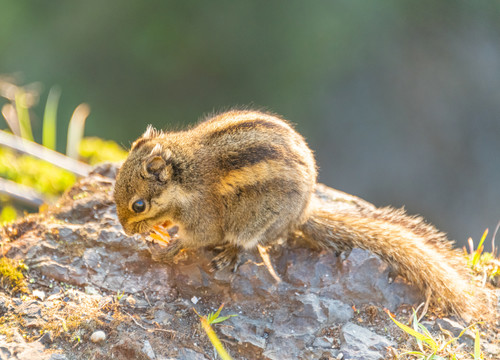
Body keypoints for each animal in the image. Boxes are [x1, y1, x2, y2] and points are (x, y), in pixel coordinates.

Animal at [113, 109, 492, 320]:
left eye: (138, 205)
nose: (126, 230)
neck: (185, 177)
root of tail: (303, 214)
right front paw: (159, 231)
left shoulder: (203, 217)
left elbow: (194, 240)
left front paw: (166, 248)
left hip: (259, 222)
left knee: (248, 242)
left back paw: (230, 255)